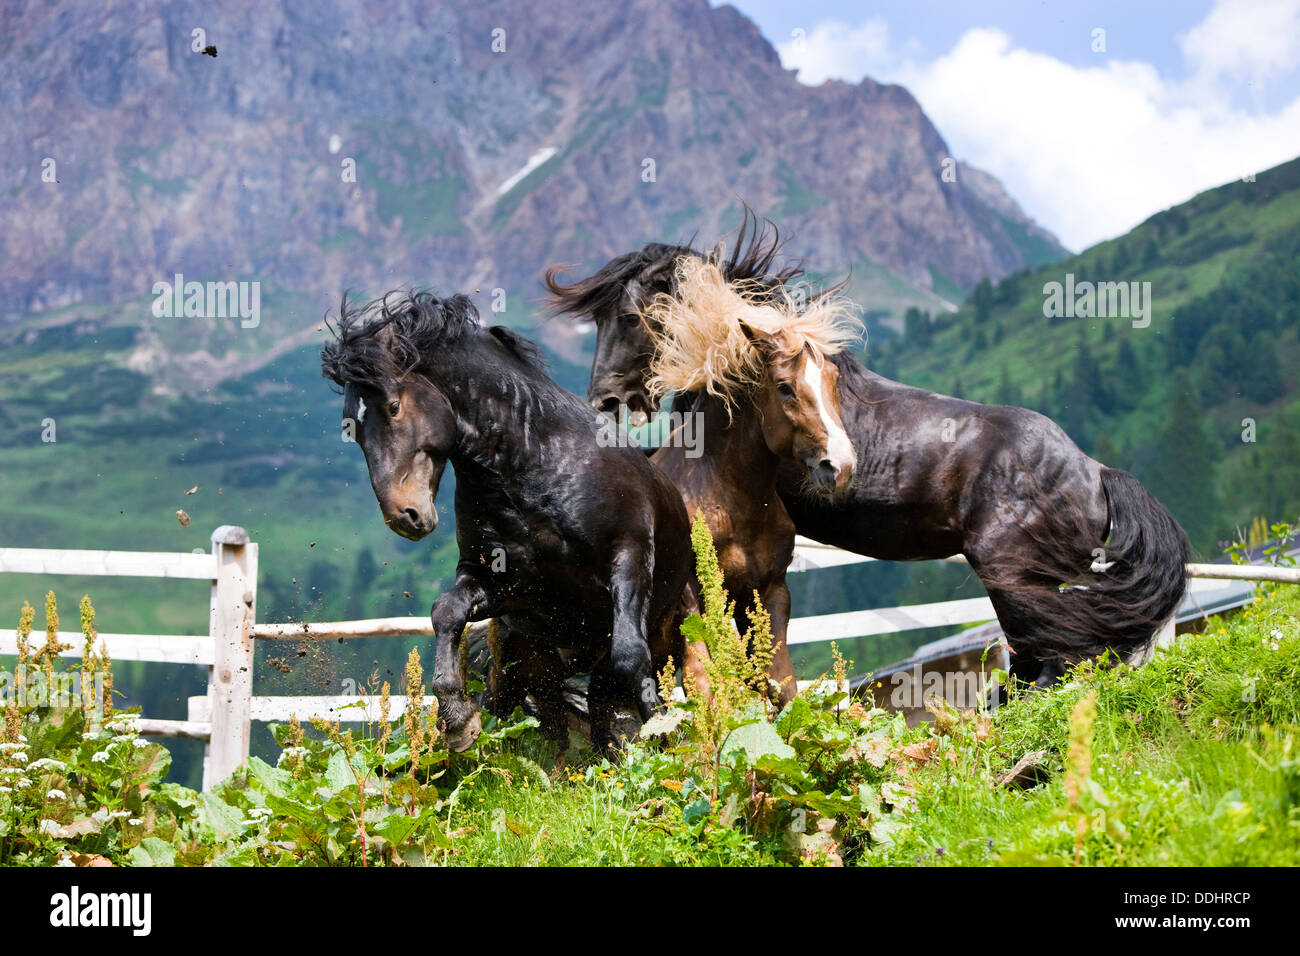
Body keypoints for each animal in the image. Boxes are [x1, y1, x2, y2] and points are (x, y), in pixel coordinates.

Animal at [321, 287, 696, 749]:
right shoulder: (506, 584)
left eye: (393, 407)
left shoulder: (628, 555)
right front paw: (457, 720)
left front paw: (664, 734)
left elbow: (629, 654)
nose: (403, 516)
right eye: (352, 429)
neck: (533, 469)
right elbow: (446, 610)